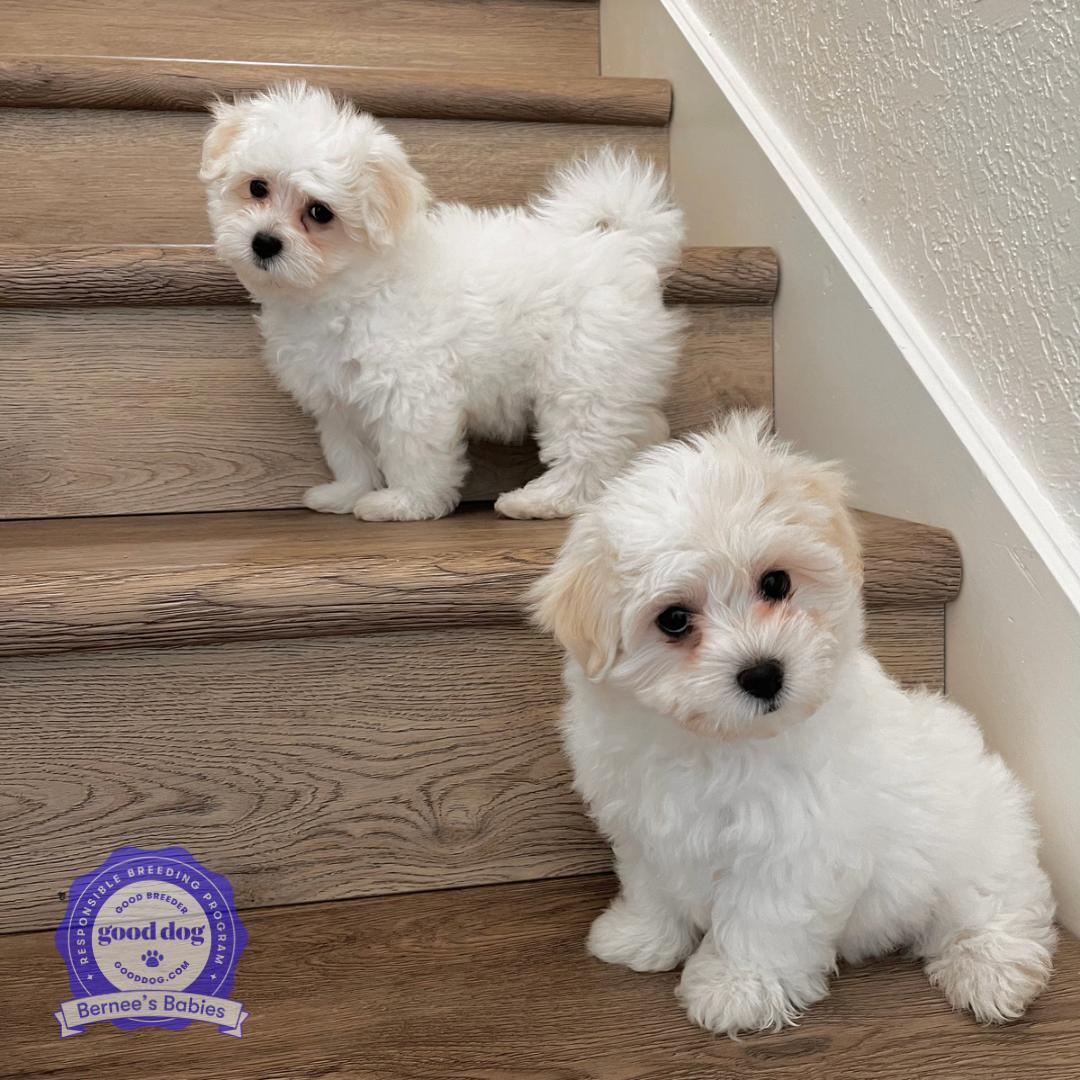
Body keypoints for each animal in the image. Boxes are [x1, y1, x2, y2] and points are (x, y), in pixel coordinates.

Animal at [200, 82, 685, 521]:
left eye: (320, 213)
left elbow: (412, 451)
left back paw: (540, 501)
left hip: (581, 374)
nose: (264, 242)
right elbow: (349, 452)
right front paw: (347, 493)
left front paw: (403, 503)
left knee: (585, 449)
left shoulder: (410, 389)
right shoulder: (337, 399)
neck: (344, 287)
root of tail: (624, 243)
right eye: (257, 187)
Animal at [530, 411, 1056, 1036]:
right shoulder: (644, 822)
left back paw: (991, 970)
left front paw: (737, 989)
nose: (763, 673)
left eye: (777, 583)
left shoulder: (794, 846)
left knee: (996, 903)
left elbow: (762, 921)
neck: (715, 744)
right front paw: (640, 937)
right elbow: (652, 883)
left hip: (983, 845)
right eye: (674, 620)